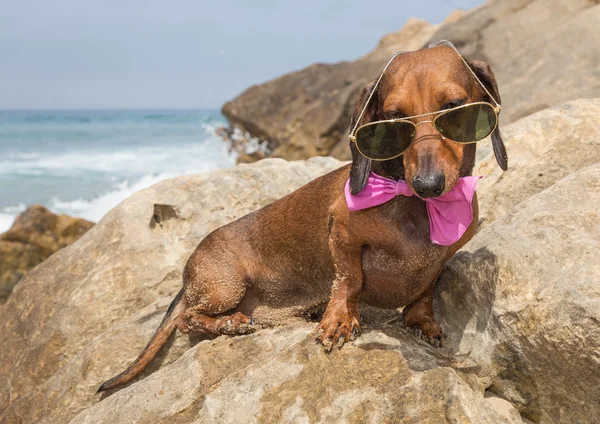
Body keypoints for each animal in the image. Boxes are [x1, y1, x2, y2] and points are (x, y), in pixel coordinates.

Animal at [98, 43, 506, 390]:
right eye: (393, 119)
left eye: (454, 108)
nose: (427, 184)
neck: (413, 206)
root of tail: (187, 277)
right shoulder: (341, 237)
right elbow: (348, 281)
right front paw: (339, 320)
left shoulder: (441, 258)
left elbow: (426, 288)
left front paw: (421, 320)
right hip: (223, 285)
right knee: (188, 319)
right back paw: (232, 322)